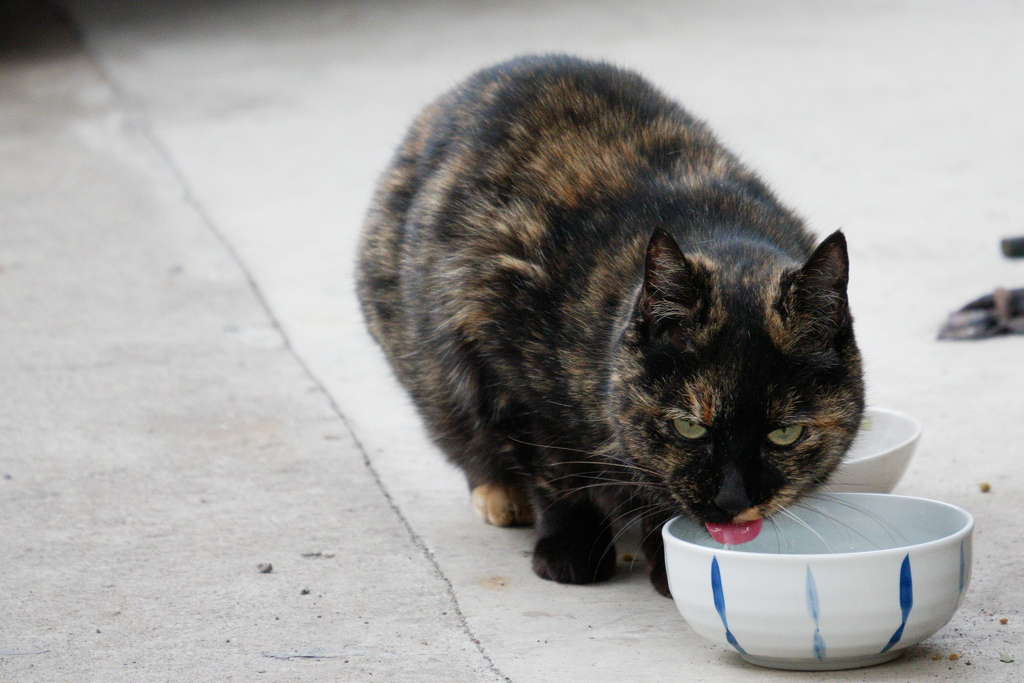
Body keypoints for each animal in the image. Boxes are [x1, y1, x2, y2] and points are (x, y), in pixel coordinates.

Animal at [360, 56, 864, 593]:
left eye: (786, 434)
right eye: (688, 427)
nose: (732, 501)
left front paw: (666, 565)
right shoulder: (503, 358)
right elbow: (556, 471)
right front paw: (571, 548)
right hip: (426, 362)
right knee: (463, 430)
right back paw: (501, 495)